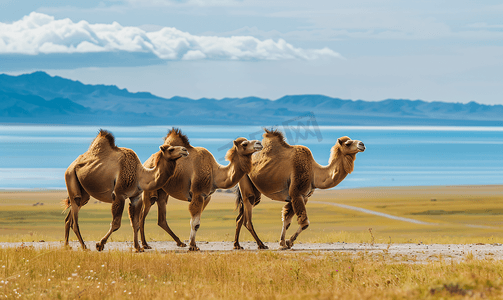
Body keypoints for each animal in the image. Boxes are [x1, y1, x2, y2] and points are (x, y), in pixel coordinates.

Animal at [234, 129, 364, 251]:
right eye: (348, 143)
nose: (362, 144)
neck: (314, 172)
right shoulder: (296, 193)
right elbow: (304, 223)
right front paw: (289, 242)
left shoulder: (303, 197)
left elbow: (286, 220)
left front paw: (282, 243)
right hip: (246, 183)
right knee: (247, 218)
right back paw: (261, 245)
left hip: (254, 190)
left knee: (240, 217)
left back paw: (237, 245)